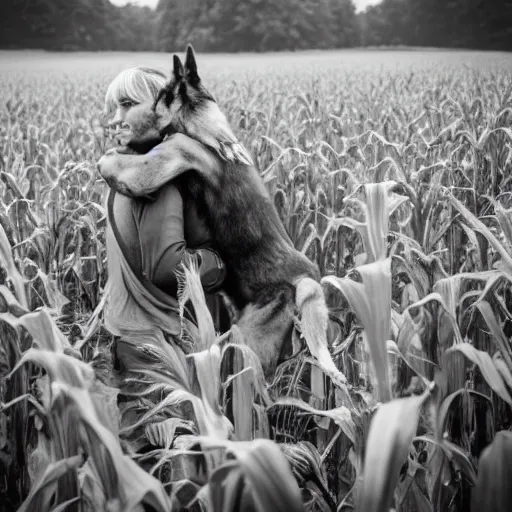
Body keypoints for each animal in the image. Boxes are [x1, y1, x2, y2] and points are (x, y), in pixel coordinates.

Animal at [97, 47, 344, 384]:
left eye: (159, 97)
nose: (115, 127)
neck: (203, 127)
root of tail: (307, 278)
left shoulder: (163, 160)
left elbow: (116, 164)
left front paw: (109, 159)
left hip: (249, 338)